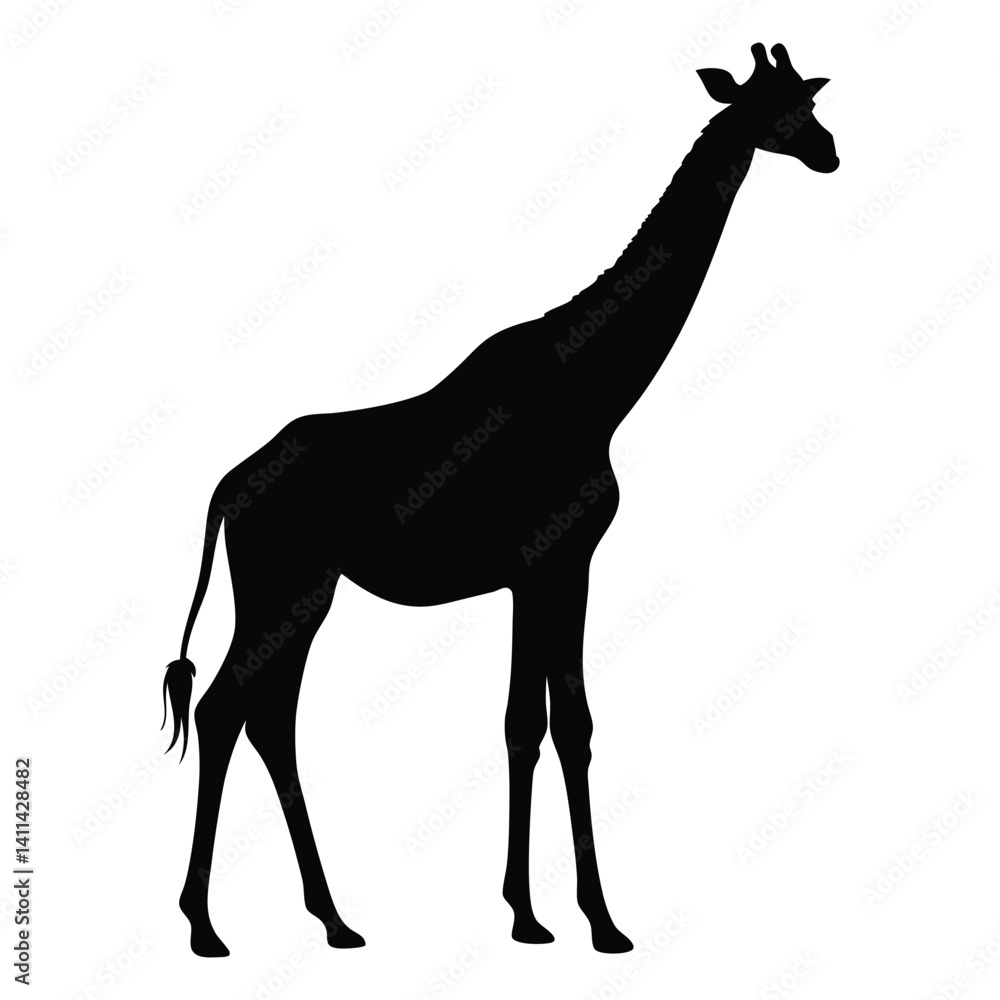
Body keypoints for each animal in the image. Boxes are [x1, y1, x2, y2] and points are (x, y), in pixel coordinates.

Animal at [162, 43, 838, 957]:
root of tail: (229, 487)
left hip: (306, 591)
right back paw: (205, 927)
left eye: (811, 101)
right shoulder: (556, 560)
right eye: (773, 109)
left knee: (266, 715)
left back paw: (333, 919)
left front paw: (544, 913)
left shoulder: (542, 570)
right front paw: (584, 920)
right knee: (226, 706)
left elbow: (540, 723)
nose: (829, 151)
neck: (597, 387)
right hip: (282, 584)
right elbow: (557, 723)